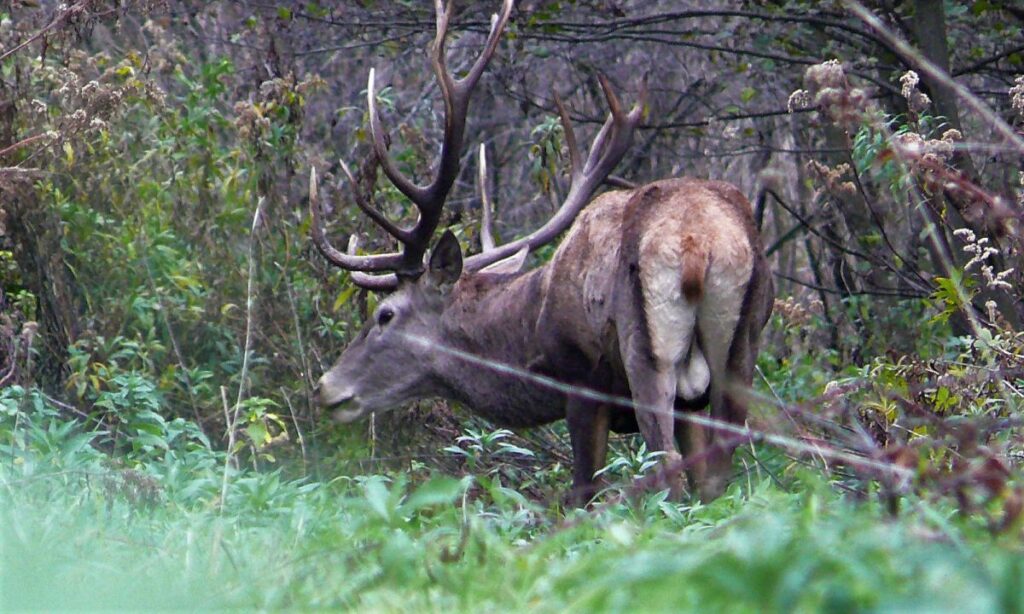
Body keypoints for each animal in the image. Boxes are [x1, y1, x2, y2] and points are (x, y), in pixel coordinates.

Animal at [307, 0, 770, 503]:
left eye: (385, 314)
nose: (326, 387)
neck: (530, 329)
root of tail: (701, 246)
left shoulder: (583, 384)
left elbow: (583, 492)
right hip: (742, 347)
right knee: (718, 474)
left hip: (646, 351)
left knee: (666, 469)